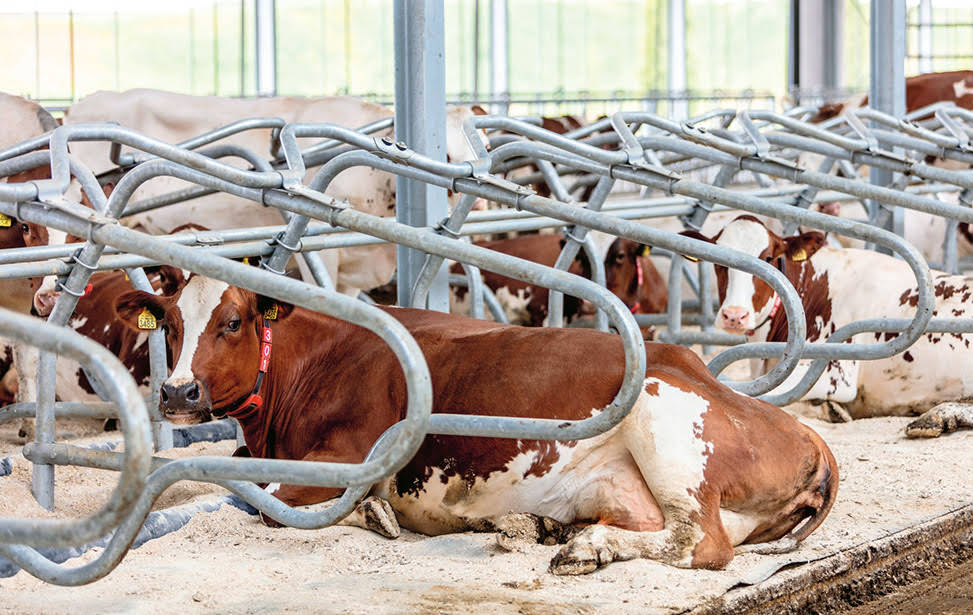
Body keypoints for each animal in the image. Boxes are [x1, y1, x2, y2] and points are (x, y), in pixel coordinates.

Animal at [112, 274, 838, 574]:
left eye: (232, 321)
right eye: (168, 323)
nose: (176, 392)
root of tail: (810, 437)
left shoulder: (344, 457)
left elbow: (263, 501)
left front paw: (372, 512)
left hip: (668, 425)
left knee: (699, 541)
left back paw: (585, 548)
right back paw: (554, 528)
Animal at [700, 215, 973, 437]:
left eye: (768, 258)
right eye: (719, 263)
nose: (735, 315)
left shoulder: (834, 372)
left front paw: (830, 409)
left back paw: (935, 417)